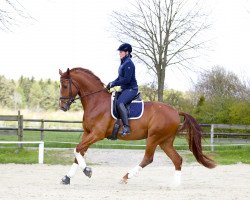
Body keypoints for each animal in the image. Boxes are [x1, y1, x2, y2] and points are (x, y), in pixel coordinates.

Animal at [58, 67, 215, 186]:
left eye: (65, 86)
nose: (62, 107)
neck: (96, 102)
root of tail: (176, 111)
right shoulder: (87, 133)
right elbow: (79, 152)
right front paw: (67, 178)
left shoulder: (97, 134)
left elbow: (77, 149)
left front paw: (87, 171)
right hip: (165, 141)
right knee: (177, 159)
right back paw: (175, 184)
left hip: (154, 138)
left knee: (148, 158)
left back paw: (126, 177)